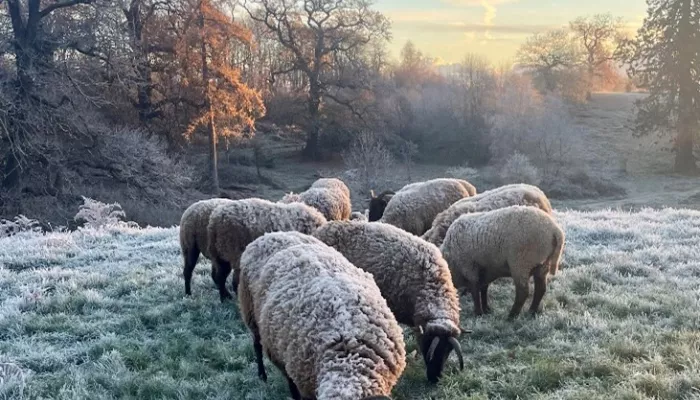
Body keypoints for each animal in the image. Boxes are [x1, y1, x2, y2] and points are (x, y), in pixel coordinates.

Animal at [440, 205, 568, 320]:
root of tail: (555, 230)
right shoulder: (485, 270)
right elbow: (483, 288)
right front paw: (486, 309)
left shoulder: (469, 267)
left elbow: (475, 291)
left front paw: (478, 313)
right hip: (542, 265)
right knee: (540, 289)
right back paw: (531, 312)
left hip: (520, 264)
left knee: (523, 292)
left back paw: (511, 316)